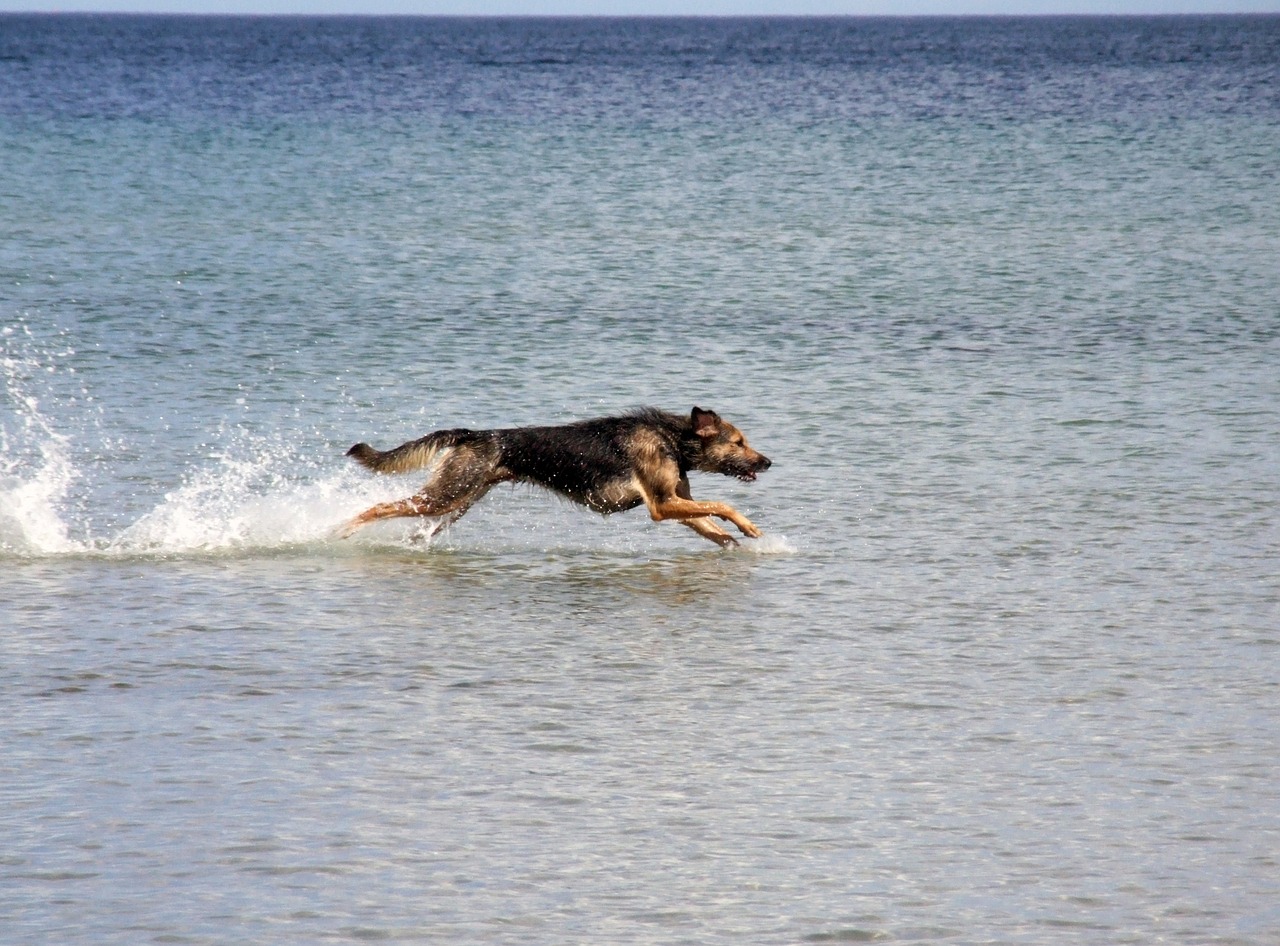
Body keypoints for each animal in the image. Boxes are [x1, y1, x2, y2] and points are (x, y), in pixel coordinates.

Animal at [335, 404, 768, 547]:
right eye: (739, 442)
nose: (767, 462)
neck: (673, 439)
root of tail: (473, 433)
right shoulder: (662, 506)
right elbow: (724, 505)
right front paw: (751, 527)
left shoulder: (678, 502)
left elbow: (716, 528)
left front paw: (741, 541)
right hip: (445, 496)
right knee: (375, 507)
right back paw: (336, 530)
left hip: (456, 503)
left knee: (413, 528)